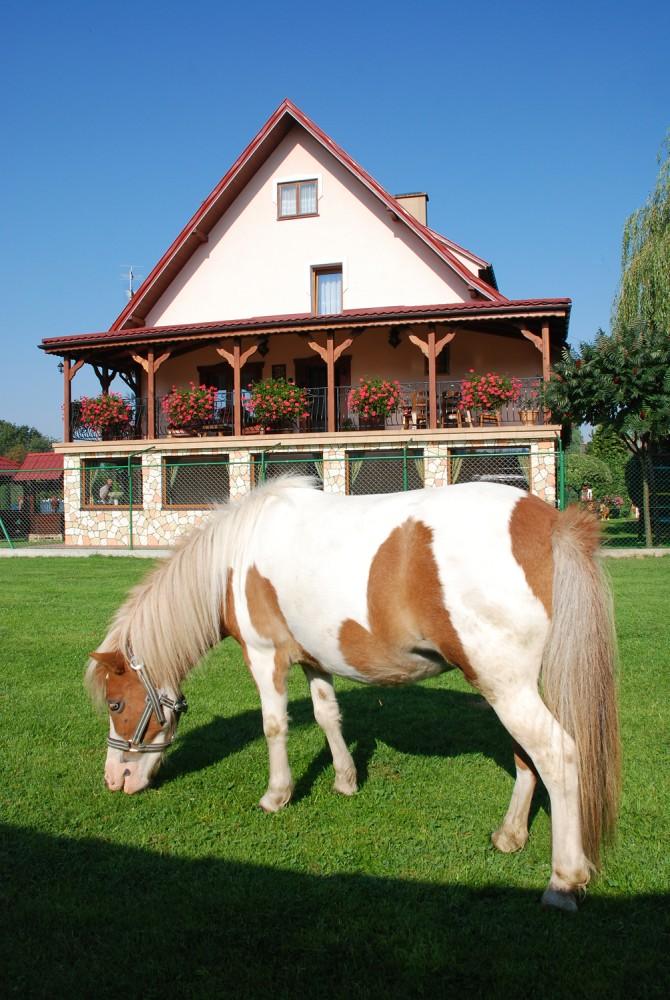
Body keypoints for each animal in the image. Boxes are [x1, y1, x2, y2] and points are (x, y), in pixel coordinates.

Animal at [86, 480, 624, 912]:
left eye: (116, 705)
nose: (116, 780)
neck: (234, 559)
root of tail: (549, 521)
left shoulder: (264, 656)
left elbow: (274, 726)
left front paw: (276, 796)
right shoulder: (314, 659)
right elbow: (328, 715)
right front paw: (345, 781)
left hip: (505, 687)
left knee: (556, 755)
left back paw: (563, 881)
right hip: (514, 686)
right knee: (527, 756)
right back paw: (510, 835)